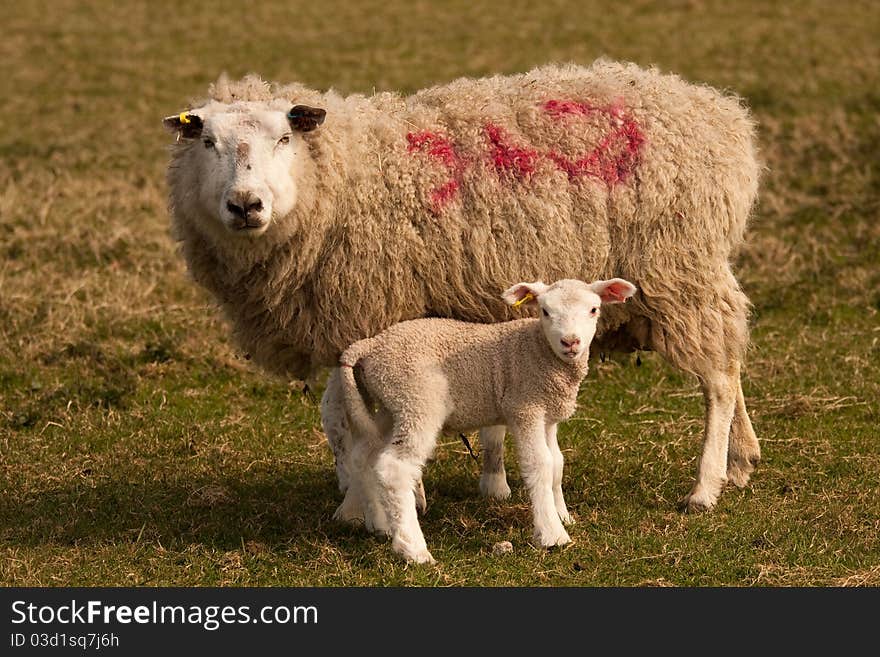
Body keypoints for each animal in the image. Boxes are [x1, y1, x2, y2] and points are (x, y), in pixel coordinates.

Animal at [165, 60, 764, 512]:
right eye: (208, 143)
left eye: (285, 137)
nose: (245, 205)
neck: (344, 178)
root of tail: (721, 115)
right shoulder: (349, 327)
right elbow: (338, 421)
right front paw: (360, 491)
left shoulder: (371, 314)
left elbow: (359, 422)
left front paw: (392, 499)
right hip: (699, 271)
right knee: (733, 359)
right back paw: (743, 459)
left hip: (677, 272)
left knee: (717, 379)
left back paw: (706, 487)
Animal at [340, 274, 636, 560]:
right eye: (545, 311)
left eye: (593, 309)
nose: (570, 342)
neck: (539, 350)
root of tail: (369, 345)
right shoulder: (525, 407)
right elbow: (539, 465)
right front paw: (552, 534)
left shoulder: (548, 415)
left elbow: (557, 464)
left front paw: (563, 516)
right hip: (418, 400)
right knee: (395, 468)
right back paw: (413, 549)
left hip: (393, 406)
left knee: (363, 455)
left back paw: (379, 524)